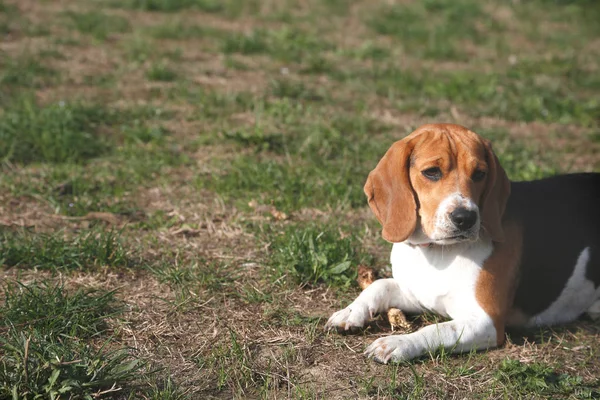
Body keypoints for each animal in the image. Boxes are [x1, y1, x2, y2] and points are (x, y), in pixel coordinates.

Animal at [328, 123, 600, 364]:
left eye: (480, 174)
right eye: (431, 172)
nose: (465, 218)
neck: (438, 252)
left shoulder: (486, 322)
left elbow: (436, 329)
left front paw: (398, 343)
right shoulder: (417, 294)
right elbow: (379, 286)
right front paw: (350, 312)